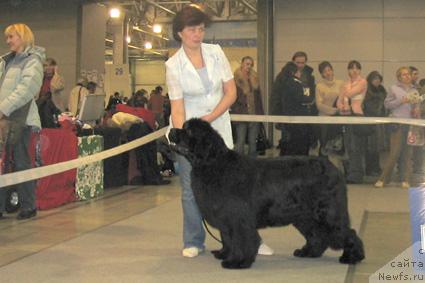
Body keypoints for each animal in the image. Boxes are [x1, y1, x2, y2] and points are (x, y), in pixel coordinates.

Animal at [169, 118, 364, 270]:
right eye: (183, 126)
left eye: (188, 131)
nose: (171, 130)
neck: (214, 164)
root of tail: (333, 168)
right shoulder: (225, 218)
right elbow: (227, 238)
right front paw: (224, 254)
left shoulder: (238, 219)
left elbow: (240, 240)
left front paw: (237, 262)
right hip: (304, 216)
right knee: (317, 235)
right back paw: (307, 252)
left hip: (327, 213)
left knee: (347, 232)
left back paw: (352, 257)